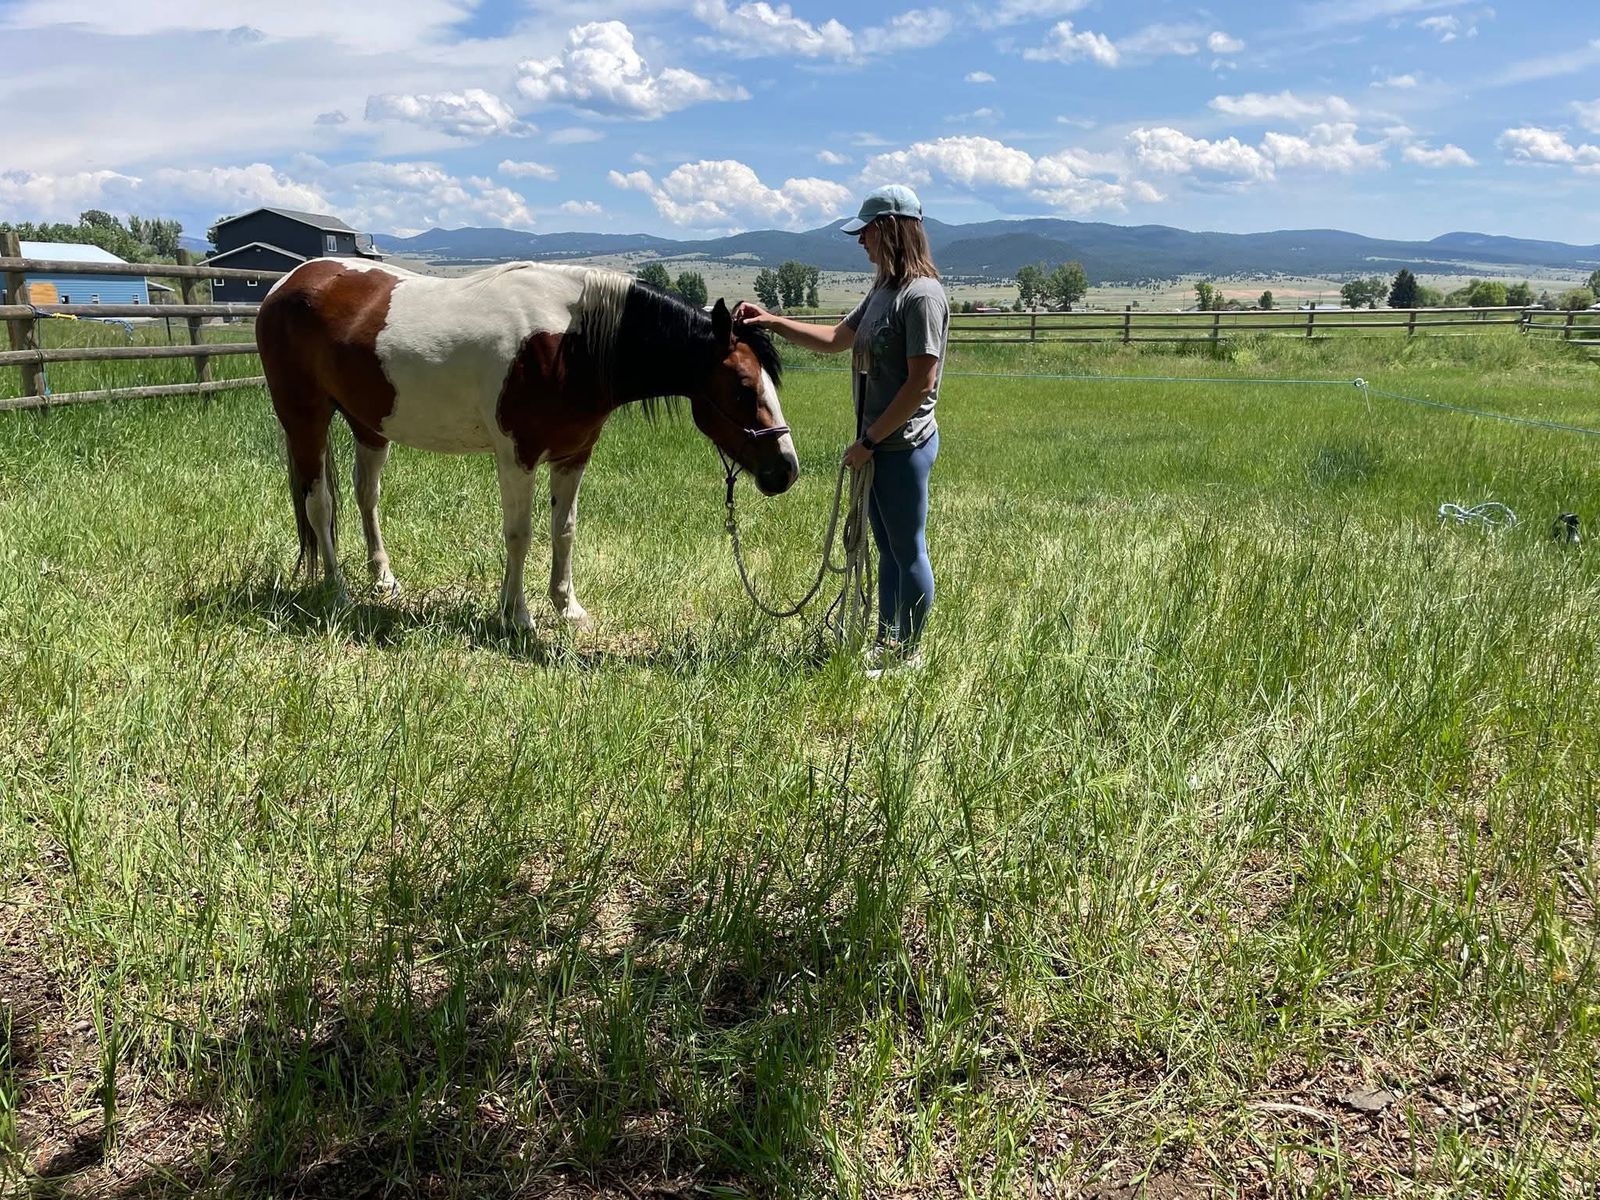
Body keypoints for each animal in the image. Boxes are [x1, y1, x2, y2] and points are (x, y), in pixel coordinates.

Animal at [255, 257, 797, 628]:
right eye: (743, 387)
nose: (786, 470)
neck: (570, 344)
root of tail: (288, 282)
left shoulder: (573, 455)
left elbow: (565, 530)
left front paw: (567, 607)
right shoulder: (518, 457)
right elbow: (520, 534)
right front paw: (516, 616)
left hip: (369, 425)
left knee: (366, 496)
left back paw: (383, 580)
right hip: (305, 418)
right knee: (319, 503)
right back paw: (338, 589)